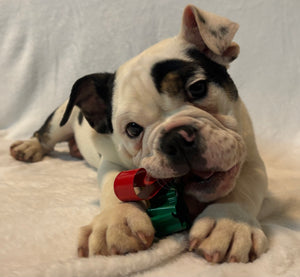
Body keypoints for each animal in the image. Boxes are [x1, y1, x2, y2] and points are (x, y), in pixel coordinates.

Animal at [9, 5, 268, 262]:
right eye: (133, 129)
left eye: (197, 88)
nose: (175, 138)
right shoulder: (110, 162)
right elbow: (114, 185)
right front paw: (115, 222)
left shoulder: (252, 161)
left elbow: (243, 185)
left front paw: (229, 222)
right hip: (61, 119)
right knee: (45, 134)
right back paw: (29, 147)